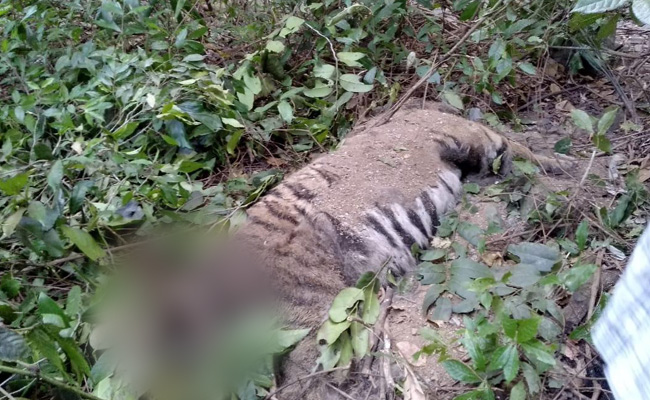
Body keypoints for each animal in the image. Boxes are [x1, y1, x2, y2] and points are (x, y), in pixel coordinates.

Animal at [100, 101, 571, 400]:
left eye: (131, 346)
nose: (109, 381)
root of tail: (415, 108)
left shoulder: (318, 326)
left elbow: (313, 383)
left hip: (474, 139)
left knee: (518, 148)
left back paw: (566, 172)